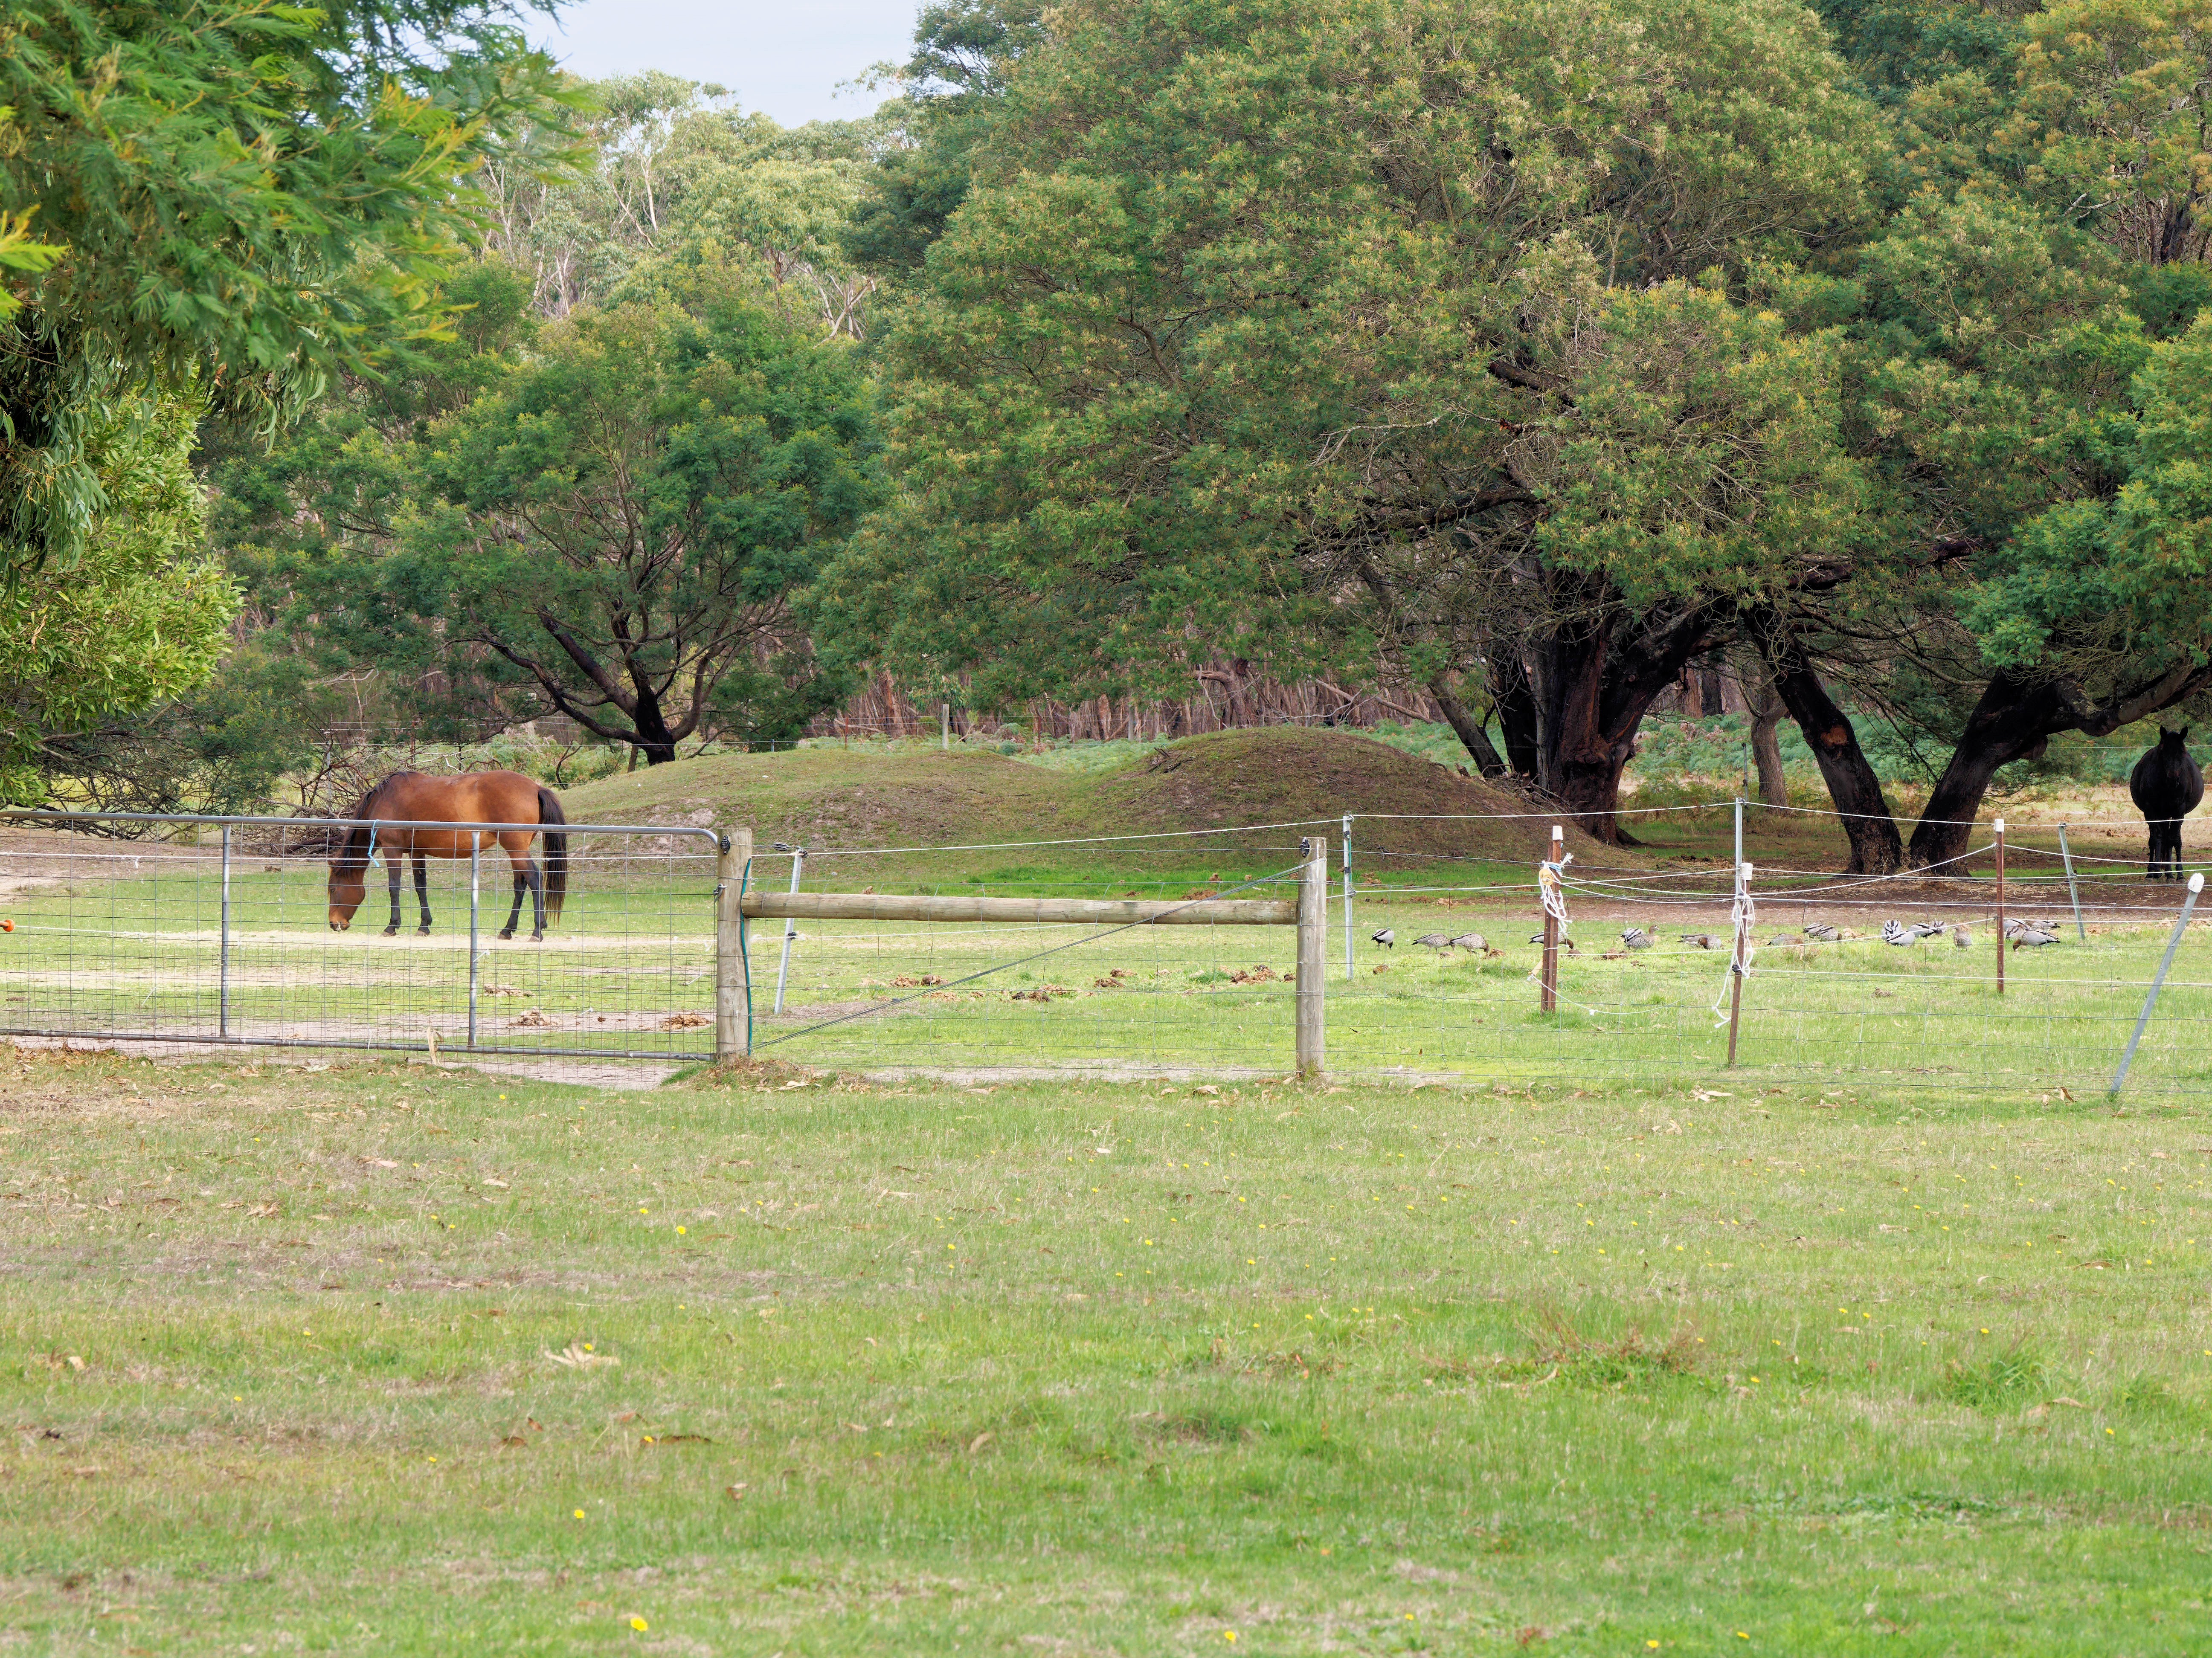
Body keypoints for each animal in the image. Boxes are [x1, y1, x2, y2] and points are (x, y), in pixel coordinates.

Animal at [326, 771, 568, 940]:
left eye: (333, 889)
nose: (334, 924)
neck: (386, 800)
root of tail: (536, 787)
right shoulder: (417, 852)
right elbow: (420, 886)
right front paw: (424, 926)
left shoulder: (392, 850)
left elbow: (394, 887)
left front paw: (392, 926)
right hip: (516, 851)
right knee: (521, 885)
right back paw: (507, 930)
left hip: (516, 850)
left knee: (535, 879)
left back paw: (537, 931)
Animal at [2128, 727, 2204, 881]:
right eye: (2163, 751)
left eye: (2181, 751)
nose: (2173, 779)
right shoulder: (2151, 811)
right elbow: (2156, 838)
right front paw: (2153, 872)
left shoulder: (2179, 812)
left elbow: (2172, 839)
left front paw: (2173, 874)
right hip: (2162, 815)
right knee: (2159, 838)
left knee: (2174, 840)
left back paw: (2175, 873)